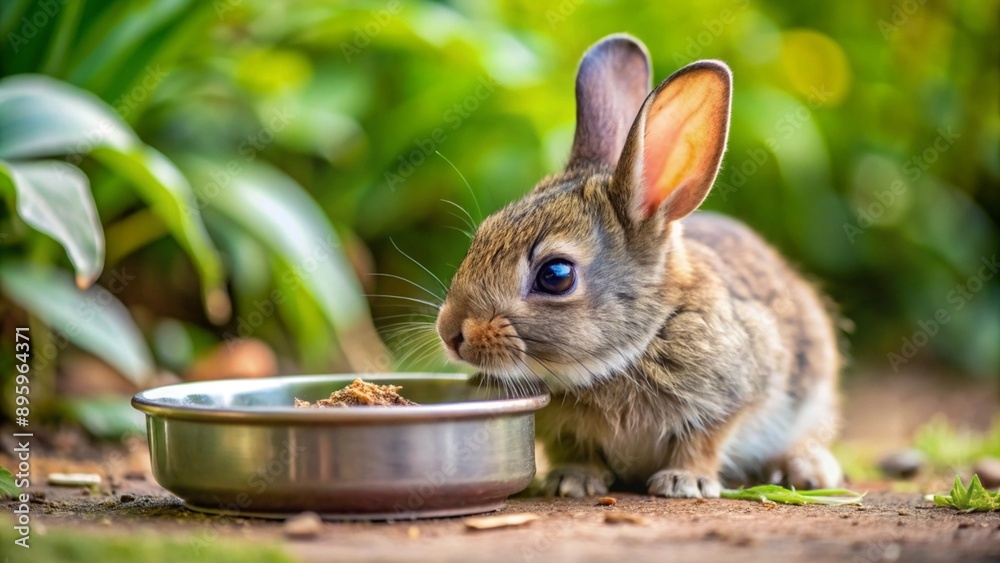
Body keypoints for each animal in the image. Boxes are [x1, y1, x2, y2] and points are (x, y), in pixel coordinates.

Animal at [434, 34, 843, 498]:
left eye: (556, 275)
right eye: (483, 233)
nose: (449, 332)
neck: (642, 342)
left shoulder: (733, 397)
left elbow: (705, 440)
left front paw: (686, 482)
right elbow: (573, 447)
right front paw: (573, 480)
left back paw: (808, 470)